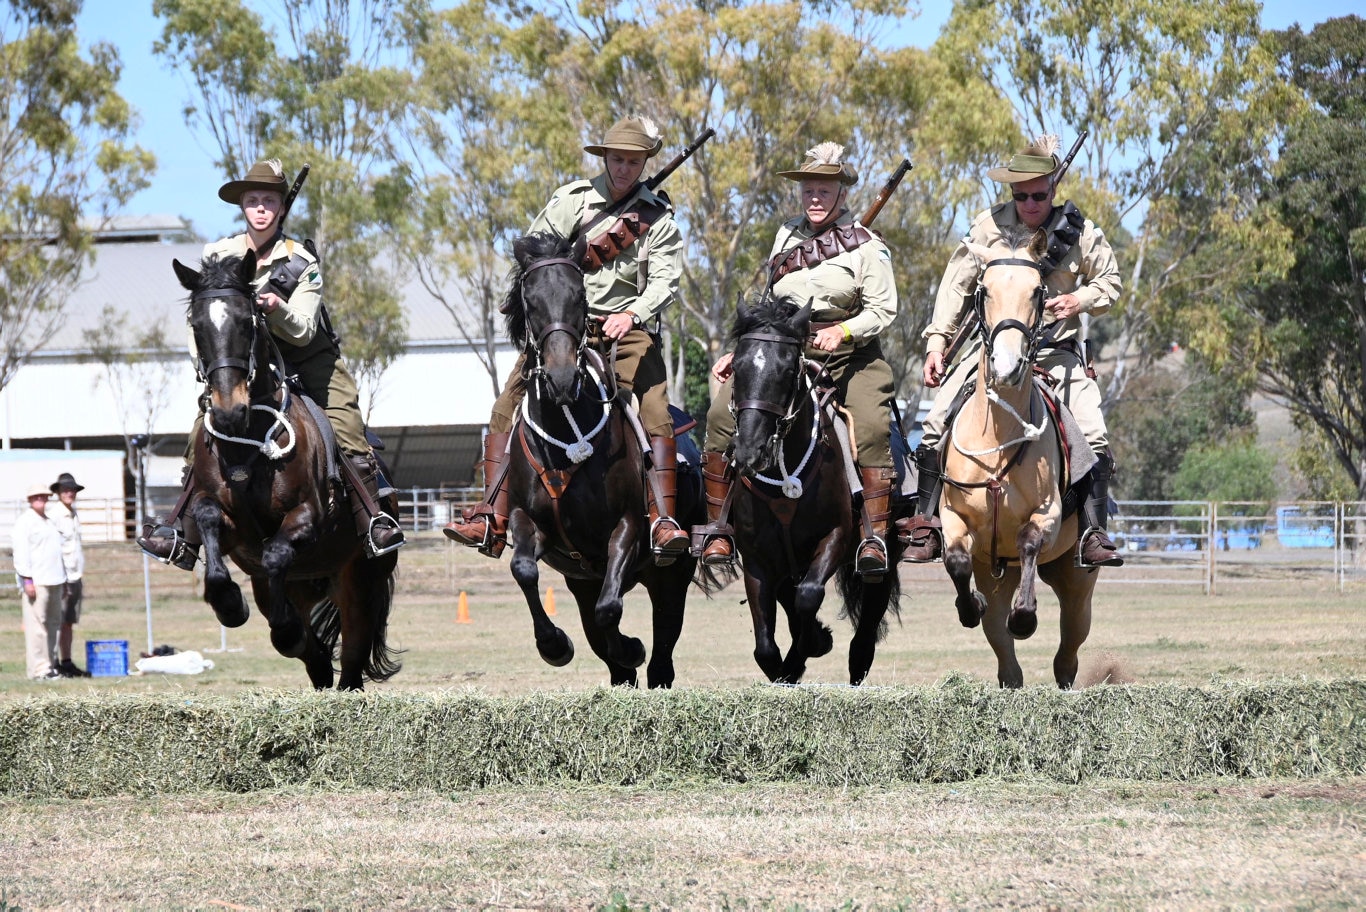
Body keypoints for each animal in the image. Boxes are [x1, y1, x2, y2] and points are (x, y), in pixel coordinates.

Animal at [173, 252, 398, 688]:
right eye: (197, 326)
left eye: (247, 322)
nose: (228, 411)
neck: (248, 440)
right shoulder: (231, 529)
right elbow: (207, 519)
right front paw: (229, 604)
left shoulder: (307, 518)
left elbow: (277, 551)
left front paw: (286, 628)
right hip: (289, 586)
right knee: (319, 661)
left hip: (361, 581)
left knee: (353, 657)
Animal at [726, 296, 907, 679]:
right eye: (736, 366)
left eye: (786, 371)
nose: (750, 452)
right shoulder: (757, 558)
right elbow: (765, 647)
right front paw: (796, 658)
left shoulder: (834, 536)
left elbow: (808, 596)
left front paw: (812, 644)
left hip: (882, 562)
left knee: (863, 631)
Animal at [945, 228, 1092, 690]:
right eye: (984, 291)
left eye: (1037, 291)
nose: (1007, 366)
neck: (1000, 436)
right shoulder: (954, 517)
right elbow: (956, 562)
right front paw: (968, 606)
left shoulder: (1046, 513)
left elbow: (1028, 540)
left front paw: (1025, 617)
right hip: (998, 573)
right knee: (1001, 645)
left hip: (1077, 581)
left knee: (1070, 643)